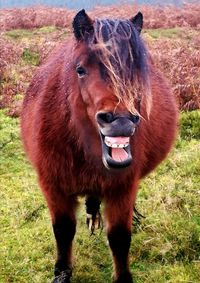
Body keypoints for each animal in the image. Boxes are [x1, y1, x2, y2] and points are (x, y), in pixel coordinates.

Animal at [21, 9, 178, 283]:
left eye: (136, 70)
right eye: (80, 69)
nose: (121, 121)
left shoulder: (122, 188)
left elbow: (119, 237)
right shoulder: (53, 185)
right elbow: (63, 230)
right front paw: (62, 273)